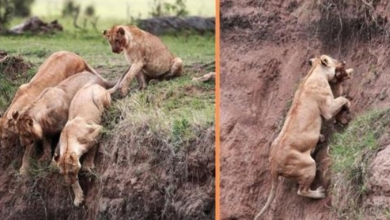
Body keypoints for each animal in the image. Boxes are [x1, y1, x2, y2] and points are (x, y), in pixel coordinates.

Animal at [254, 55, 352, 220]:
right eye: (335, 60)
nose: (343, 62)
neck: (313, 73)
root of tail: (273, 165)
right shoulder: (328, 108)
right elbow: (342, 101)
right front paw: (348, 106)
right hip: (308, 165)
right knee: (302, 191)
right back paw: (319, 193)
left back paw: (320, 138)